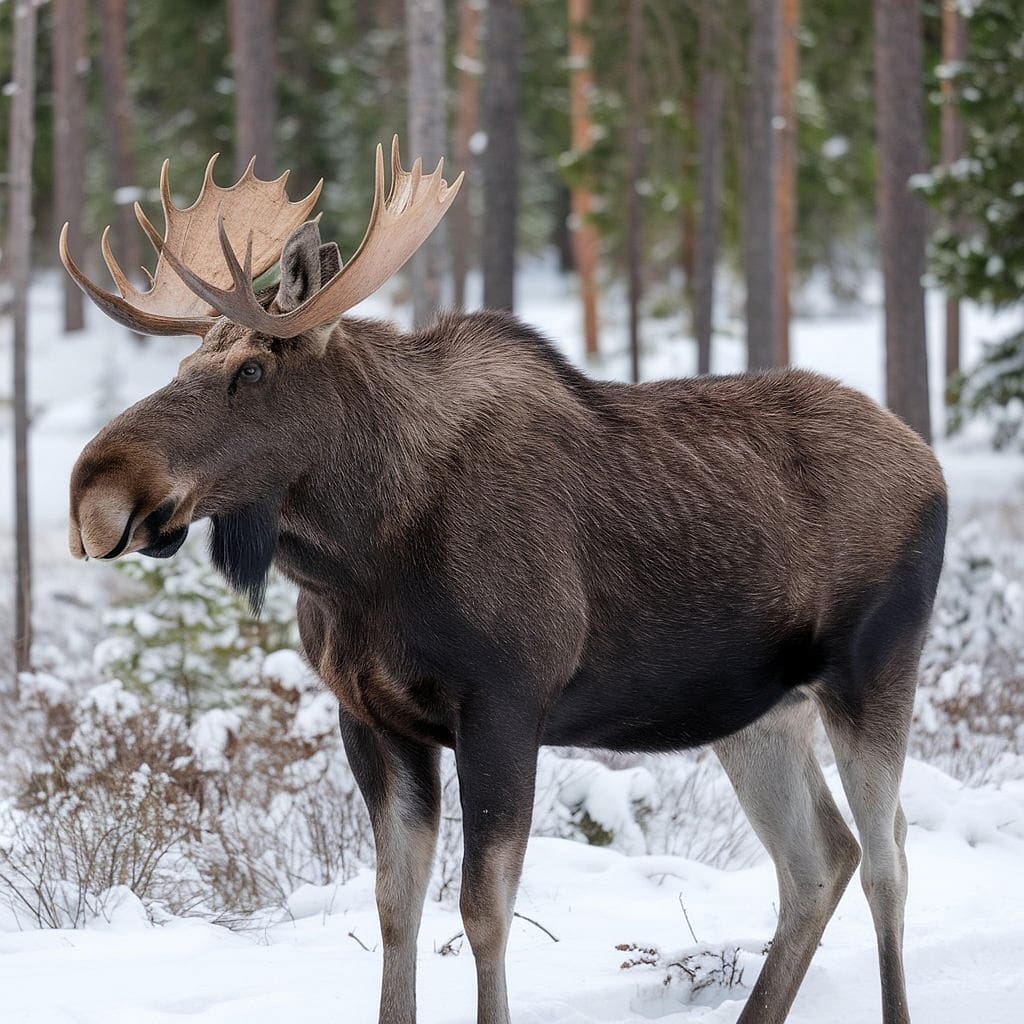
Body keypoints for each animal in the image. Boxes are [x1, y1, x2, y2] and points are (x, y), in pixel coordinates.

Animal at [61, 139, 946, 1024]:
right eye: (184, 361)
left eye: (250, 371)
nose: (94, 490)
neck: (358, 561)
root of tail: (931, 466)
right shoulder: (372, 719)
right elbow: (395, 906)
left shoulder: (505, 704)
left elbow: (483, 910)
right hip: (756, 713)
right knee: (819, 859)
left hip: (873, 671)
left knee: (888, 859)